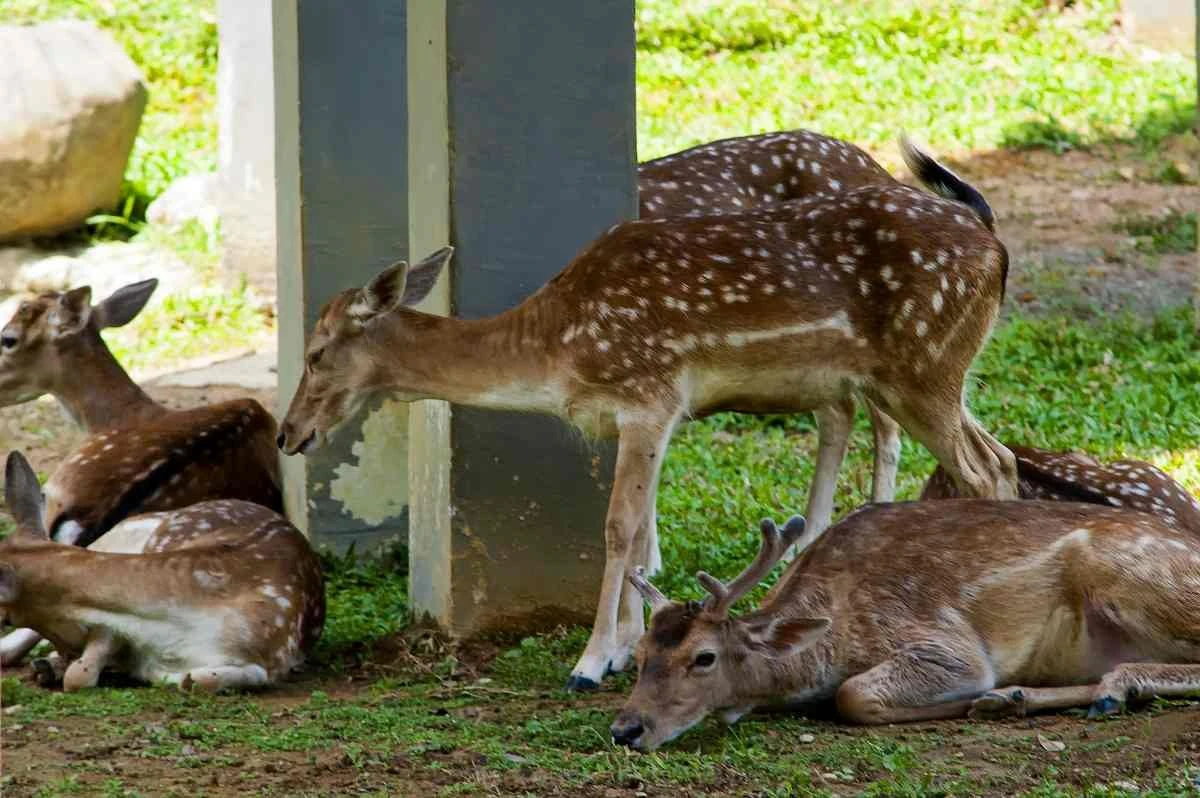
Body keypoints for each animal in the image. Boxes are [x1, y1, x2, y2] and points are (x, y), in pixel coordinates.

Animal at [0, 451, 324, 692]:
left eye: (5, 617)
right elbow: (82, 670)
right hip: (119, 537)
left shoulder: (269, 659)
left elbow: (201, 680)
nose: (68, 650)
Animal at [277, 142, 1019, 690]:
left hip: (922, 365)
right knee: (999, 458)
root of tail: (992, 239)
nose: (288, 434)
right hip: (914, 375)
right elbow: (637, 534)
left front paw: (590, 660)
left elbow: (617, 528)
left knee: (979, 469)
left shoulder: (649, 393)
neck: (556, 349)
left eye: (315, 354)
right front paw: (628, 646)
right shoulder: (639, 416)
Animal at [614, 502, 1200, 750]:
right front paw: (996, 698)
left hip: (1124, 575)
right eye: (637, 657)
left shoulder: (944, 643)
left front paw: (971, 698)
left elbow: (852, 695)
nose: (626, 730)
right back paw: (1017, 698)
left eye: (704, 657)